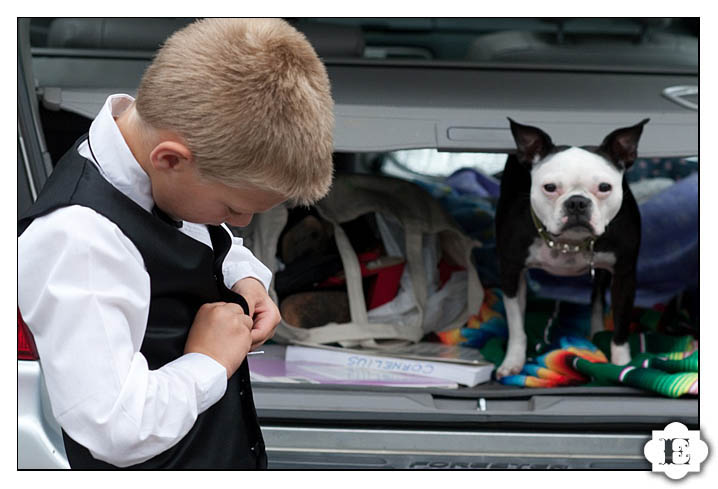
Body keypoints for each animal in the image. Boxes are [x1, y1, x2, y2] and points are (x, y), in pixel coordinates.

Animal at [498, 118, 648, 378]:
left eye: (605, 187)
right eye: (549, 187)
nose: (577, 202)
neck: (570, 242)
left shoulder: (625, 276)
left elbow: (620, 326)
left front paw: (621, 365)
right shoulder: (510, 270)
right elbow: (516, 323)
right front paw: (513, 361)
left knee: (596, 299)